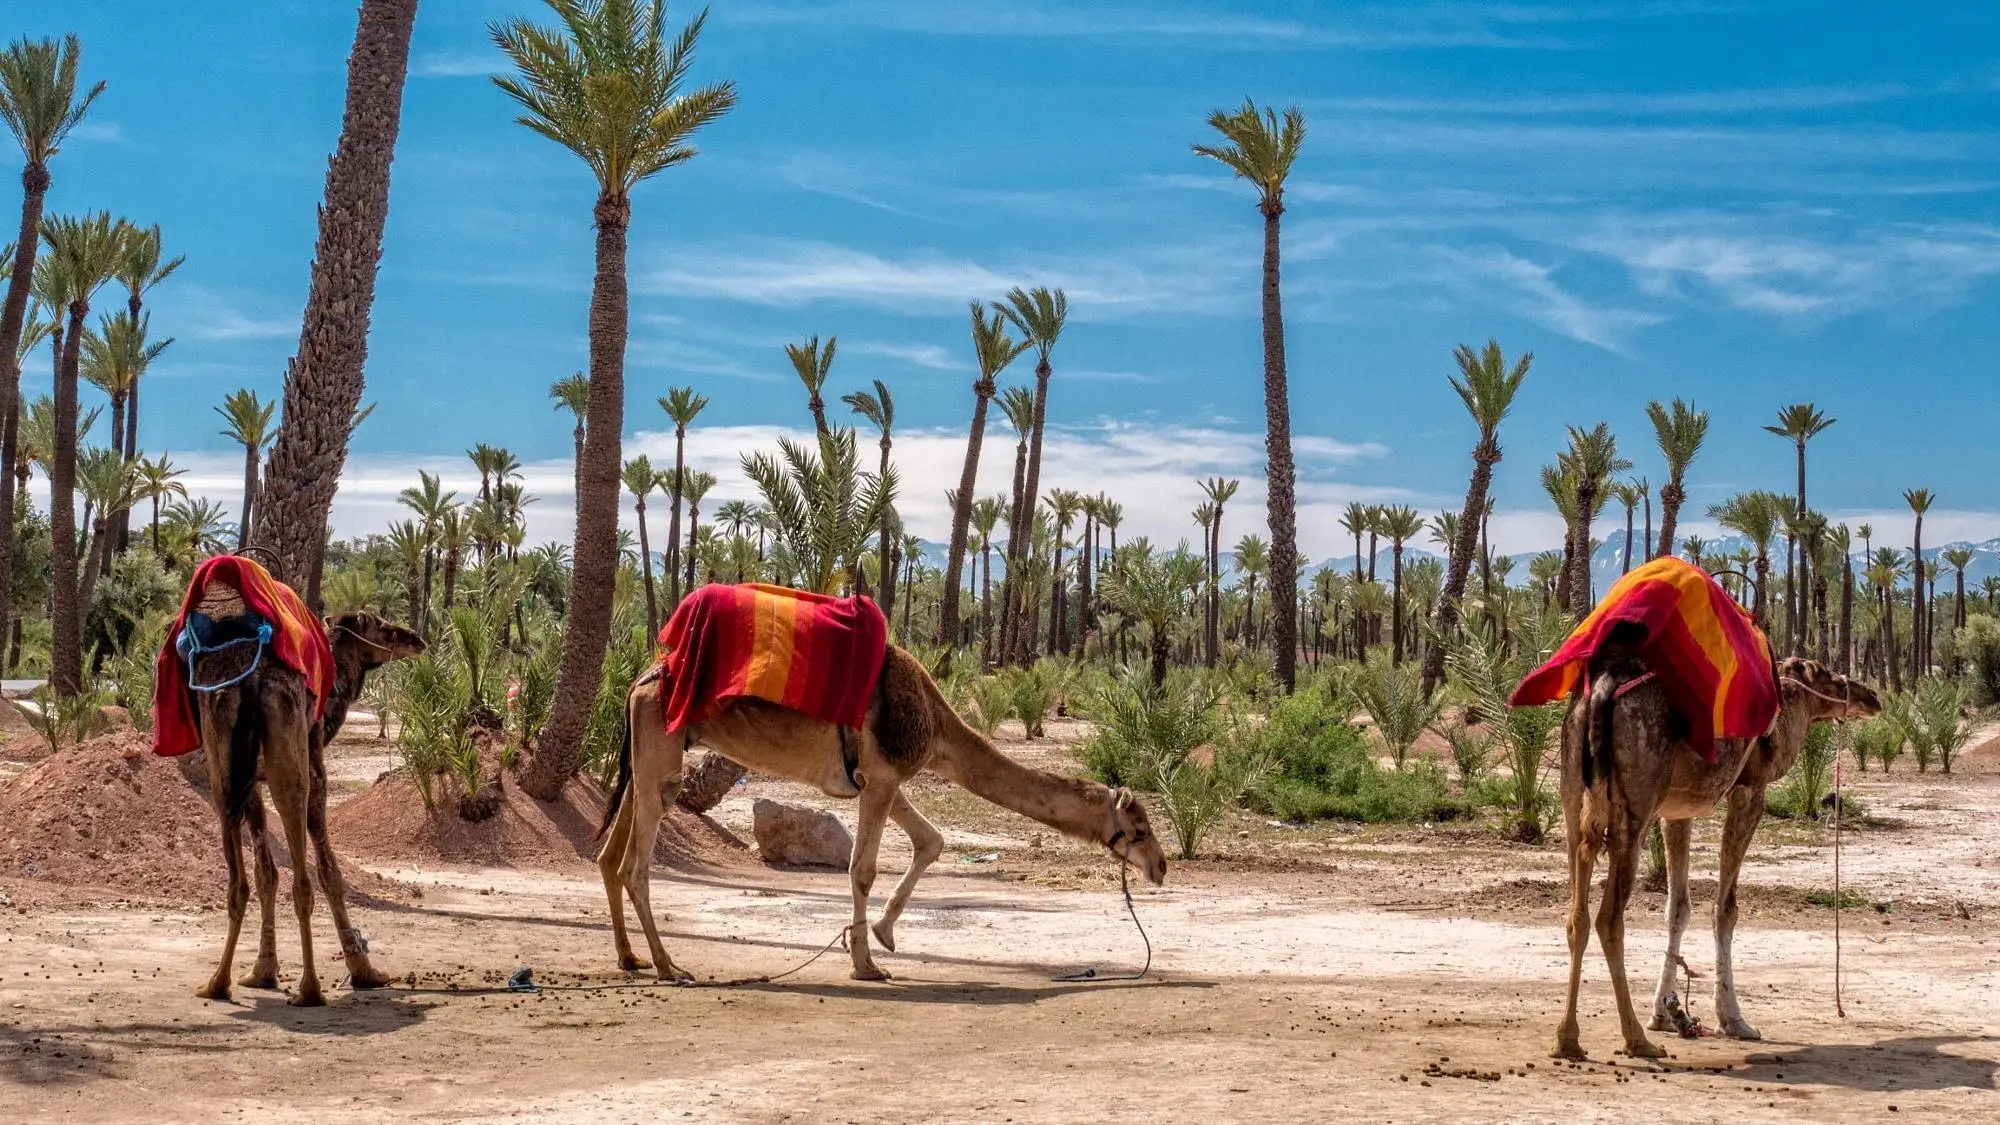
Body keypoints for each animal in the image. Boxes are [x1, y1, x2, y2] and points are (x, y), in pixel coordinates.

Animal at [192, 610, 426, 1006]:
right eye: (382, 625)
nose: (417, 639)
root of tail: (252, 681)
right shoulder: (317, 765)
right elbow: (330, 872)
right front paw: (364, 971)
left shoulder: (251, 783)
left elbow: (266, 874)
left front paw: (262, 971)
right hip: (291, 761)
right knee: (302, 879)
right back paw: (309, 989)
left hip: (221, 768)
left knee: (237, 881)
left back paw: (217, 982)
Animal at [597, 644, 1169, 981]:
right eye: (1140, 827)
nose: (1161, 867)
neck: (937, 725)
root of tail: (639, 680)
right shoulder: (884, 774)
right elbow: (863, 868)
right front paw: (866, 964)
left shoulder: (883, 779)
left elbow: (931, 841)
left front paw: (883, 934)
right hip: (661, 754)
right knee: (635, 864)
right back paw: (669, 966)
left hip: (648, 757)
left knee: (608, 855)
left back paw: (630, 958)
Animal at [1552, 651, 1880, 1060]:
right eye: (1828, 676)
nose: (1872, 697)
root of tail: (1599, 691)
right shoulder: (1748, 791)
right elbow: (1726, 909)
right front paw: (1734, 1020)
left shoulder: (1676, 810)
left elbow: (1677, 908)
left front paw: (1663, 1012)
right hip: (1636, 803)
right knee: (1609, 918)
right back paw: (1636, 1040)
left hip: (1572, 792)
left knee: (1576, 914)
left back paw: (1567, 1038)